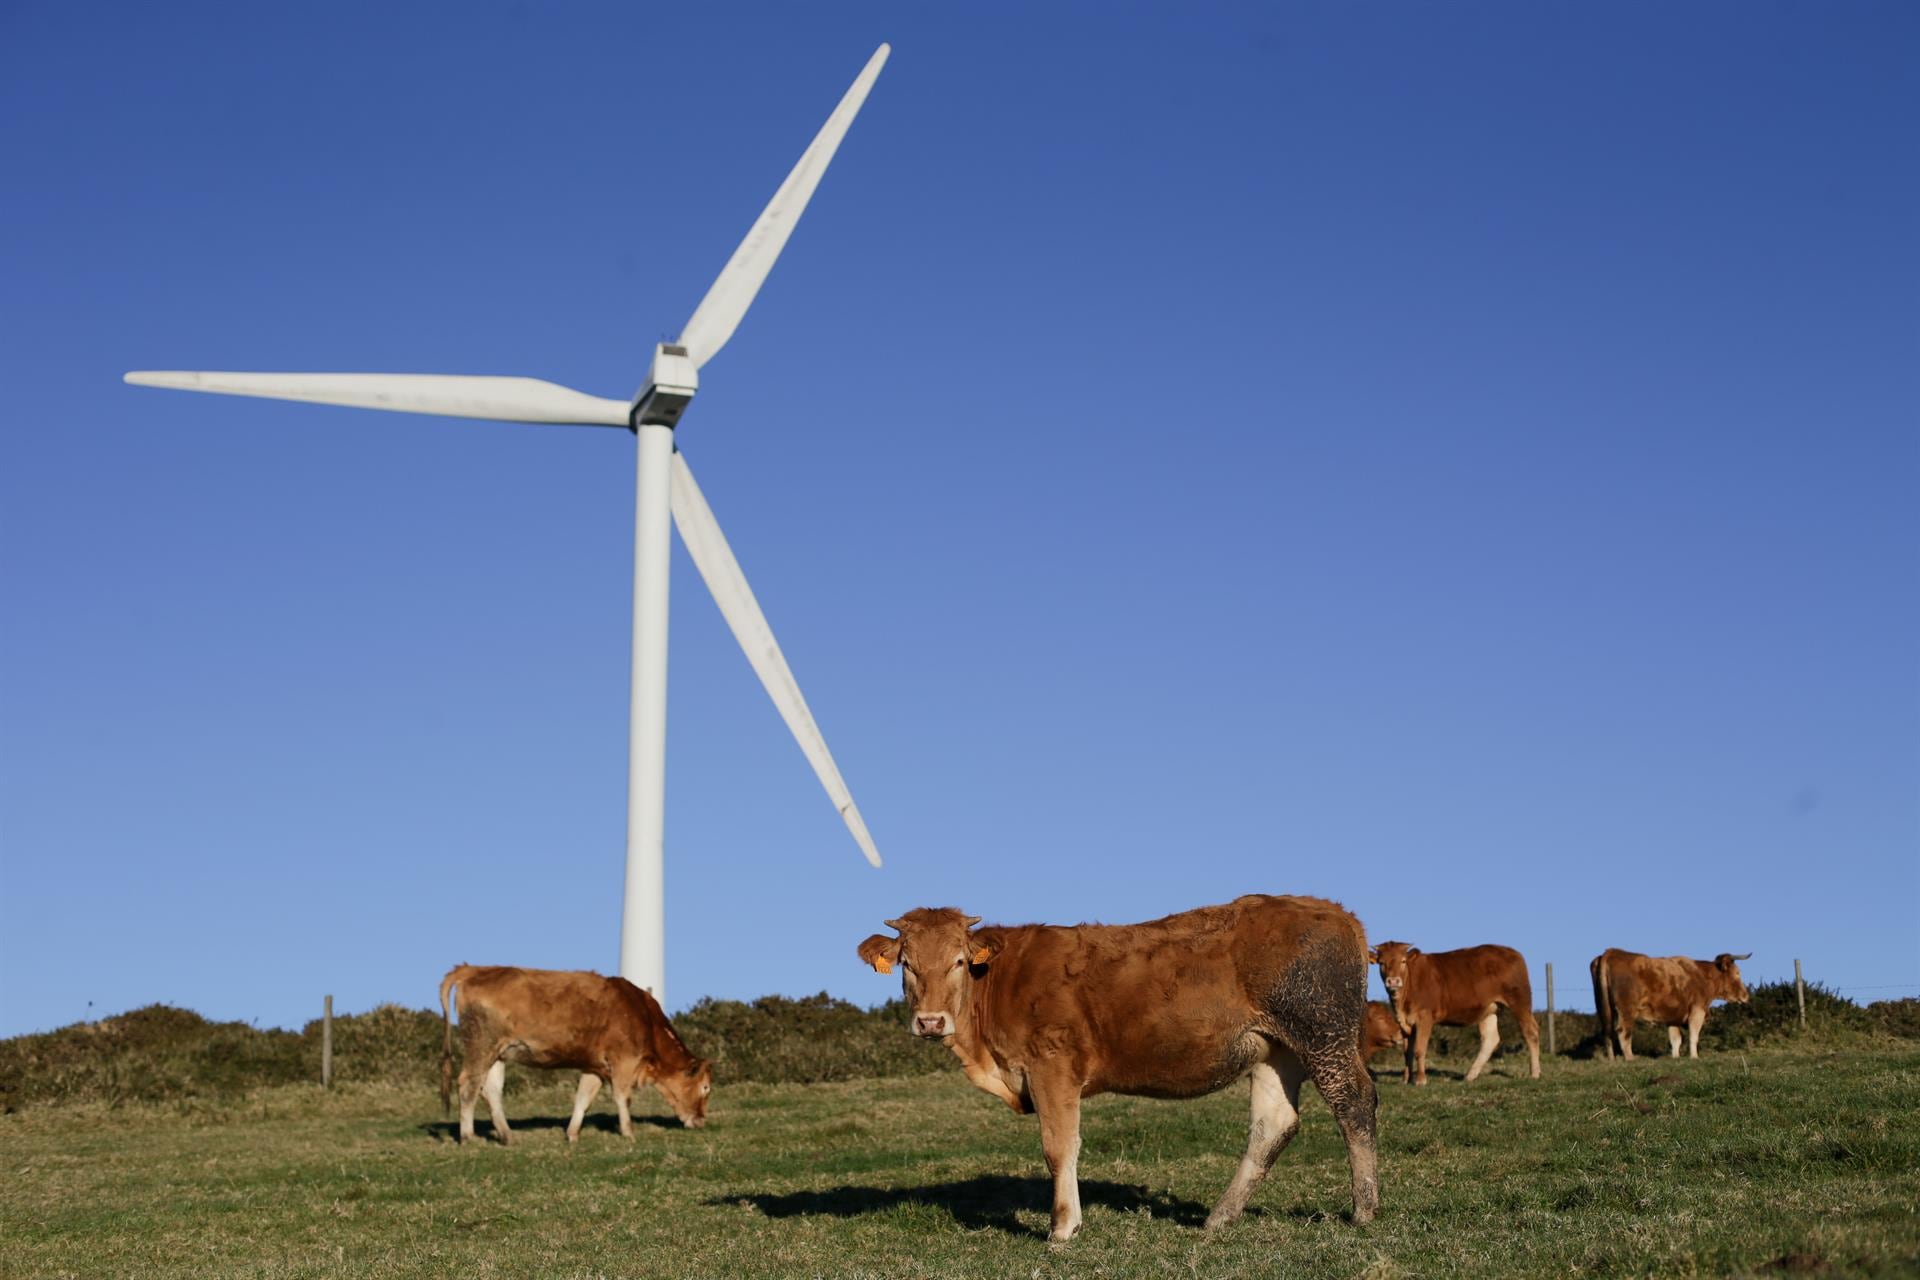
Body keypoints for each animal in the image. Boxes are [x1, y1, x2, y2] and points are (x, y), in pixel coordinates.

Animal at [437, 967, 714, 1143]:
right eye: (705, 1088)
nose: (701, 1121)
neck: (641, 1013)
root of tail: (472, 969)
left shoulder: (594, 1067)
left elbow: (583, 1099)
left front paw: (572, 1134)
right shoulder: (623, 1062)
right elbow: (622, 1097)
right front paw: (628, 1133)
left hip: (498, 1054)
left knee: (491, 1090)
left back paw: (508, 1136)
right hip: (481, 1046)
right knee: (468, 1085)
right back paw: (468, 1136)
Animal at [860, 898, 1382, 1243]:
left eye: (959, 961)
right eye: (906, 963)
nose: (930, 1021)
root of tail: (1336, 912)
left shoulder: (1052, 1066)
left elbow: (1059, 1148)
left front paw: (1063, 1227)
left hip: (1322, 1034)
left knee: (1354, 1103)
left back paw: (1364, 1210)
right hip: (1277, 1050)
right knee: (1273, 1124)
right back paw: (1220, 1216)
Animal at [1374, 948, 1536, 1090]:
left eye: (1403, 961)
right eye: (1381, 963)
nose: (1392, 981)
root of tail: (1513, 952)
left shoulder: (1424, 1017)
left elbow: (1419, 1049)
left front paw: (1420, 1081)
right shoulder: (1407, 1021)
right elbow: (1407, 1051)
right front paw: (1406, 1080)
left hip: (1519, 1000)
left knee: (1530, 1031)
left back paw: (1534, 1073)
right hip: (1489, 1009)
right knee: (1490, 1038)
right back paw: (1470, 1075)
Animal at [1589, 951, 1758, 1059]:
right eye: (1737, 973)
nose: (1746, 996)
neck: (1703, 976)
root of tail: (1611, 952)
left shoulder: (1673, 1016)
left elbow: (1675, 1039)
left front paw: (1676, 1057)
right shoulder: (1697, 1010)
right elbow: (1693, 1035)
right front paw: (1694, 1057)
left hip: (1603, 1008)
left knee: (1607, 1032)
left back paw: (1612, 1059)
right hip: (1627, 1010)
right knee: (1623, 1031)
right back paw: (1630, 1057)